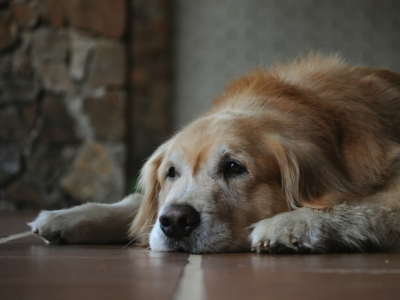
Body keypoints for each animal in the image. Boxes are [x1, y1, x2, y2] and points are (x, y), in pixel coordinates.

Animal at [28, 54, 400, 253]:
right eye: (171, 173)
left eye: (234, 167)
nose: (175, 221)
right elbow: (136, 206)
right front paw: (66, 217)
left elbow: (358, 205)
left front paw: (290, 223)